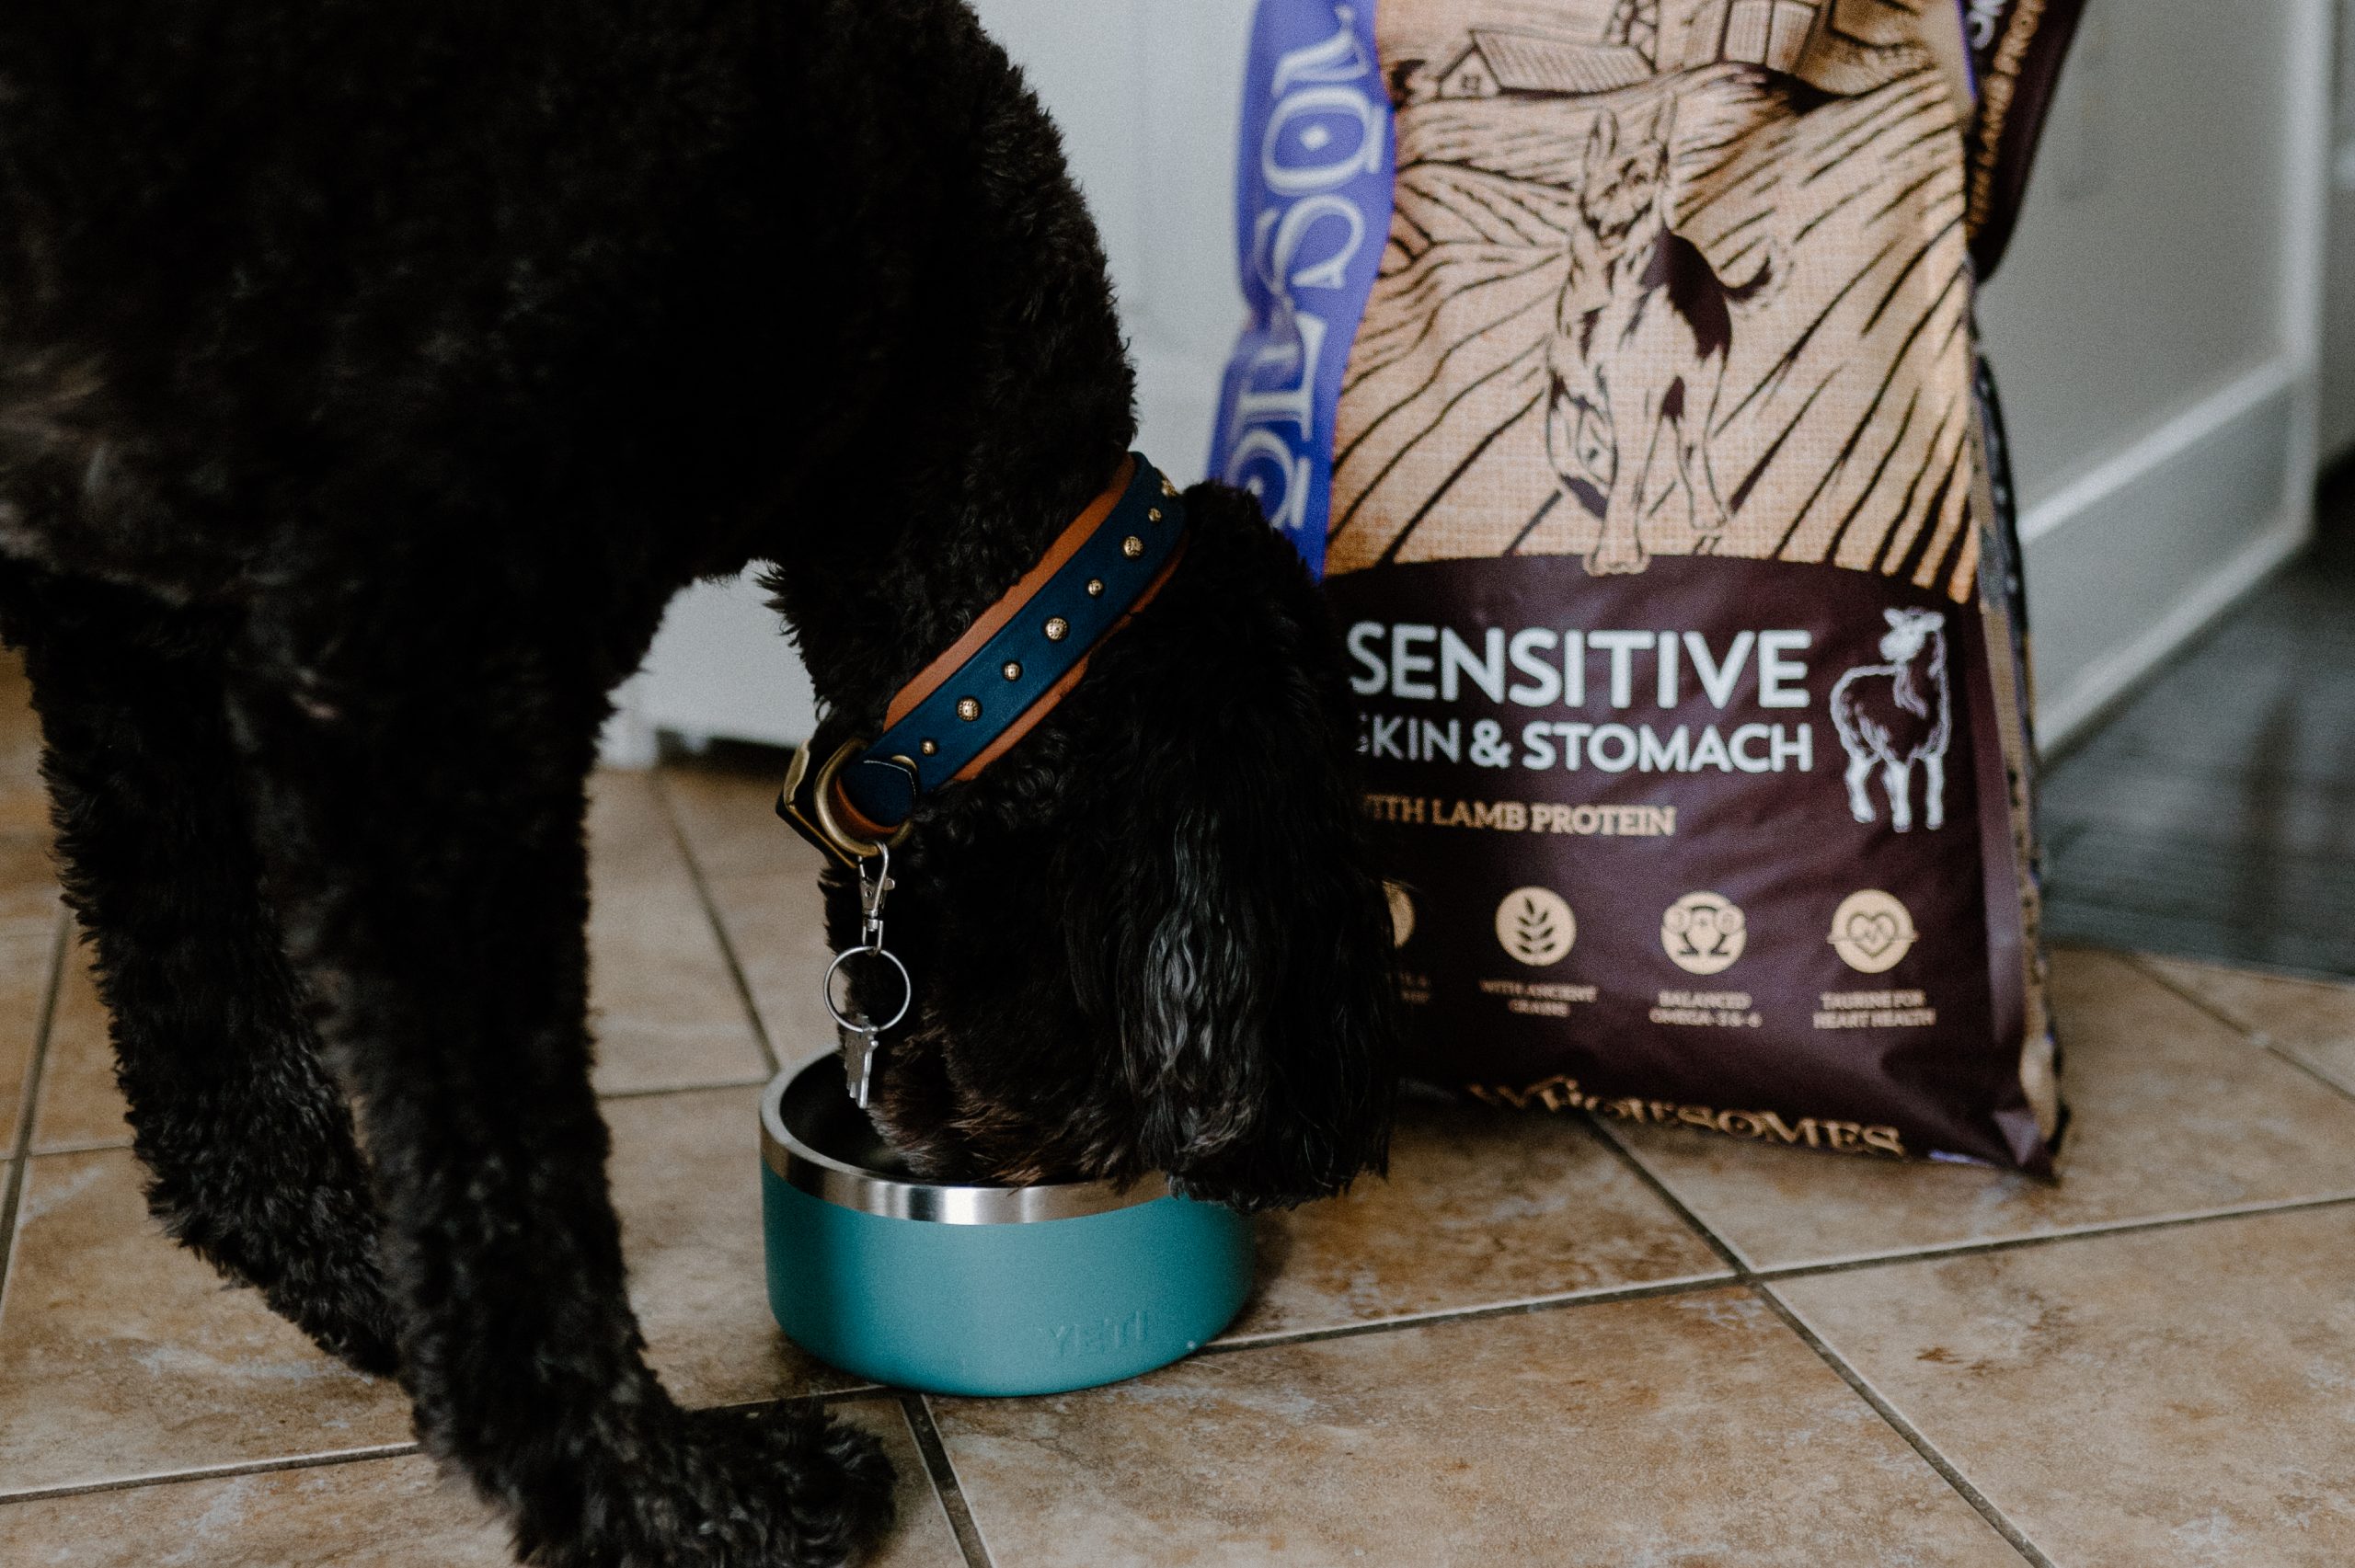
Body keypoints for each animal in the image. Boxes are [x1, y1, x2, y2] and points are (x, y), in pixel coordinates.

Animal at [0, 6, 1394, 1553]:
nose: (1316, 1150)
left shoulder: (133, 625)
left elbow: (223, 1072)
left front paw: (388, 1308)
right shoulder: (422, 680)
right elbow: (514, 1192)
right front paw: (673, 1498)